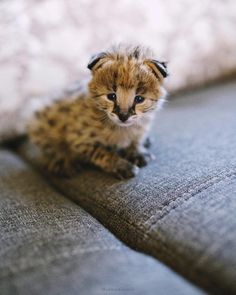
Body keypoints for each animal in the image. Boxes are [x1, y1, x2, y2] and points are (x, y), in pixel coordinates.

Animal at [27, 45, 168, 179]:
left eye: (139, 99)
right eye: (111, 96)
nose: (123, 116)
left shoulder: (140, 128)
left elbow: (136, 139)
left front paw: (137, 151)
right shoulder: (79, 140)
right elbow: (102, 153)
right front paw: (122, 166)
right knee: (48, 147)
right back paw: (63, 161)